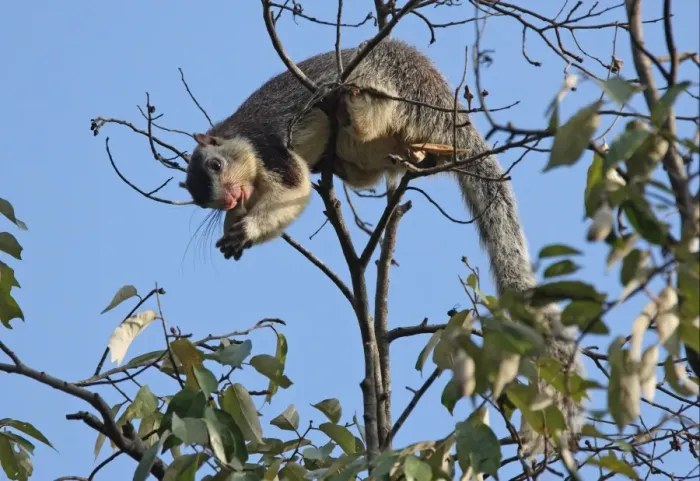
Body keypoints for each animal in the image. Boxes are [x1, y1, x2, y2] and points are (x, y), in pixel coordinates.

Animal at [184, 38, 583, 456]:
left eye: (214, 165)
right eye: (203, 202)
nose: (229, 200)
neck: (242, 134)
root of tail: (447, 110)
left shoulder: (271, 145)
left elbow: (294, 190)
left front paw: (246, 229)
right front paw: (234, 231)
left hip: (387, 81)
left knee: (372, 113)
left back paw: (350, 107)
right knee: (374, 167)